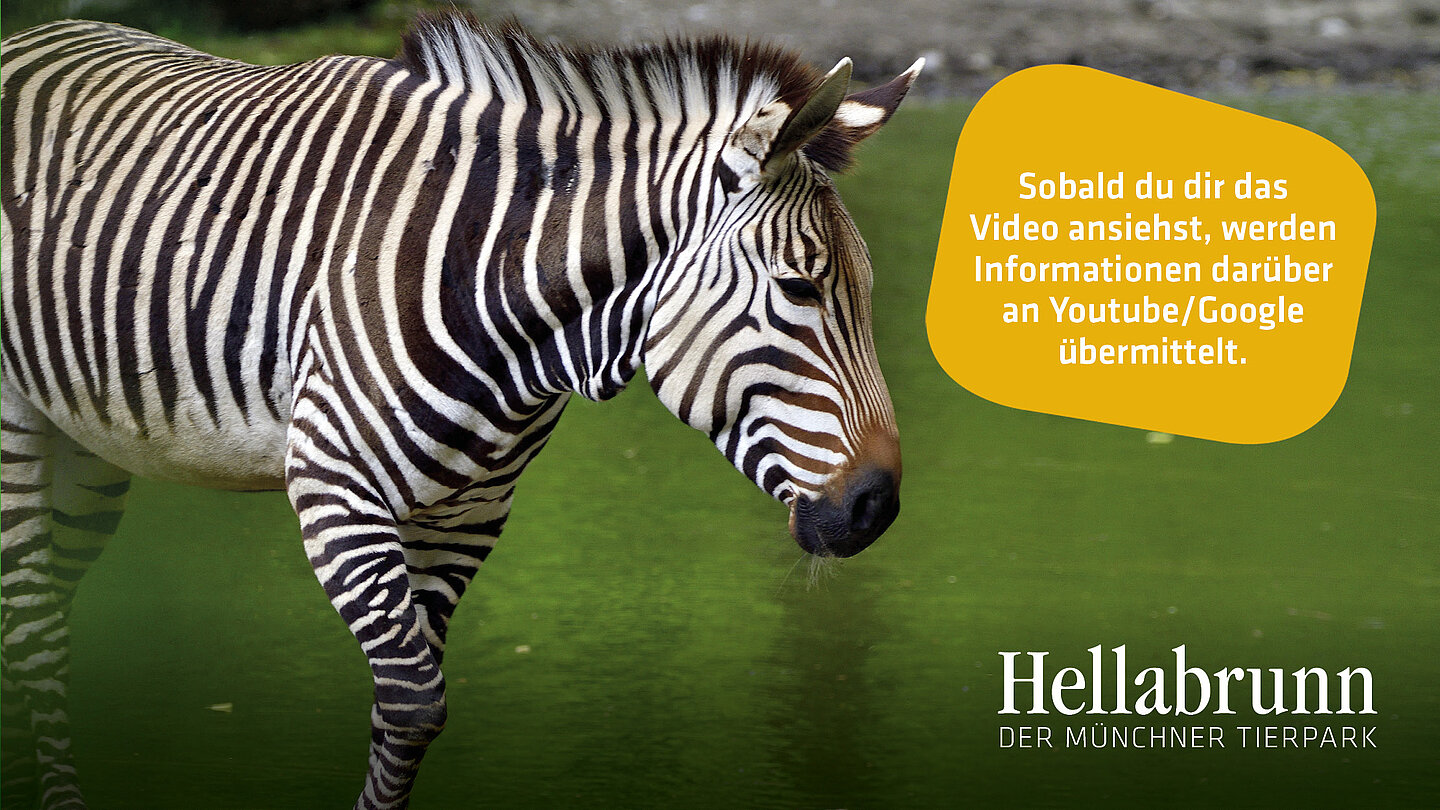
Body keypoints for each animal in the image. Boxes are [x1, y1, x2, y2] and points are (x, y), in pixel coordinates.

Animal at [1, 11, 918, 808]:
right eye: (798, 289)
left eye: (864, 290)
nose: (877, 509)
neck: (502, 293)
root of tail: (32, 34)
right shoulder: (335, 486)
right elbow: (414, 699)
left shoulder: (467, 512)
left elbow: (407, 707)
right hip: (15, 426)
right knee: (34, 625)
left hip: (81, 448)